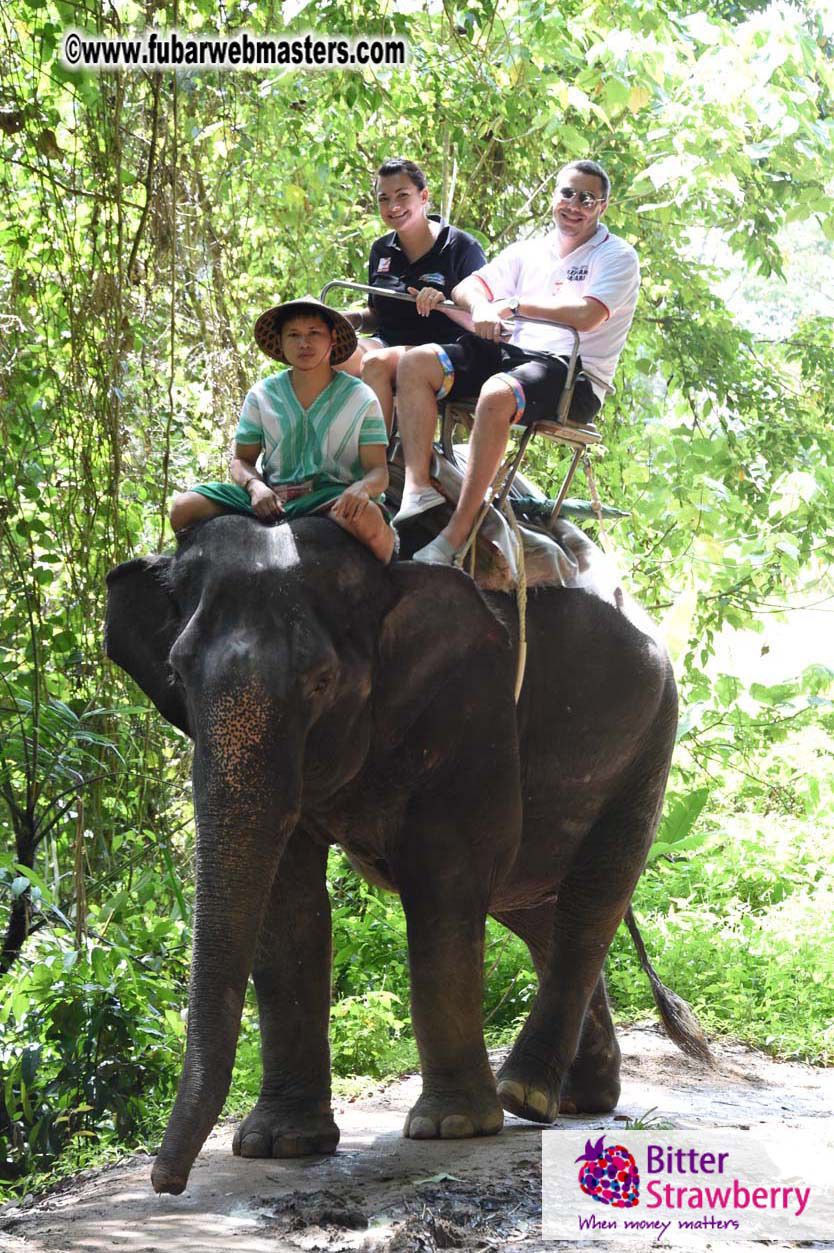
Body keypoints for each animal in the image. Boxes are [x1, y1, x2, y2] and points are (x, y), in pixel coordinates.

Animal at [105, 511, 693, 1197]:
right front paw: (278, 1144)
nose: (166, 1183)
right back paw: (574, 1099)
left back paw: (523, 1095)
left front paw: (451, 1128)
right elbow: (288, 905)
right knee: (539, 909)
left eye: (321, 682)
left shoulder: (473, 703)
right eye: (176, 675)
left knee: (592, 897)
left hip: (652, 737)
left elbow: (445, 877)